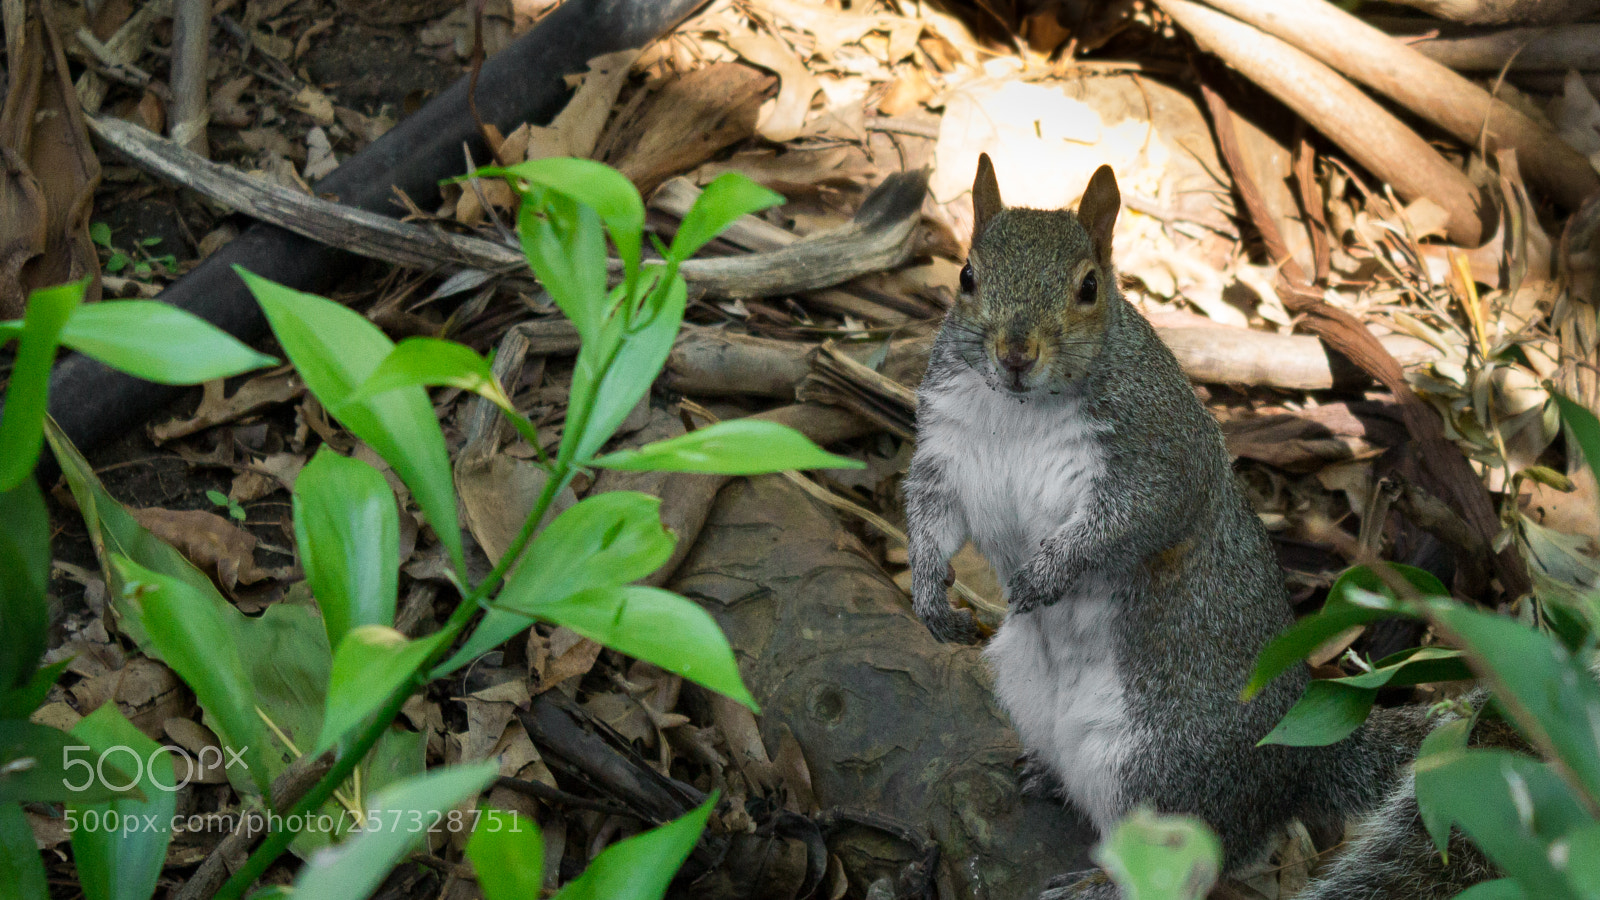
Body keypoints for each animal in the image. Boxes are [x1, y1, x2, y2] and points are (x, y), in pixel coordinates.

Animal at [903, 154, 1471, 898]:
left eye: (1089, 287)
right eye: (967, 277)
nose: (1015, 353)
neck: (1019, 409)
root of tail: (1297, 762)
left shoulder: (1161, 455)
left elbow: (1128, 521)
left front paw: (1046, 575)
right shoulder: (947, 446)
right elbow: (931, 514)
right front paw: (928, 593)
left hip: (1158, 769)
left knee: (1196, 859)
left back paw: (1099, 883)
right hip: (1031, 694)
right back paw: (1047, 777)